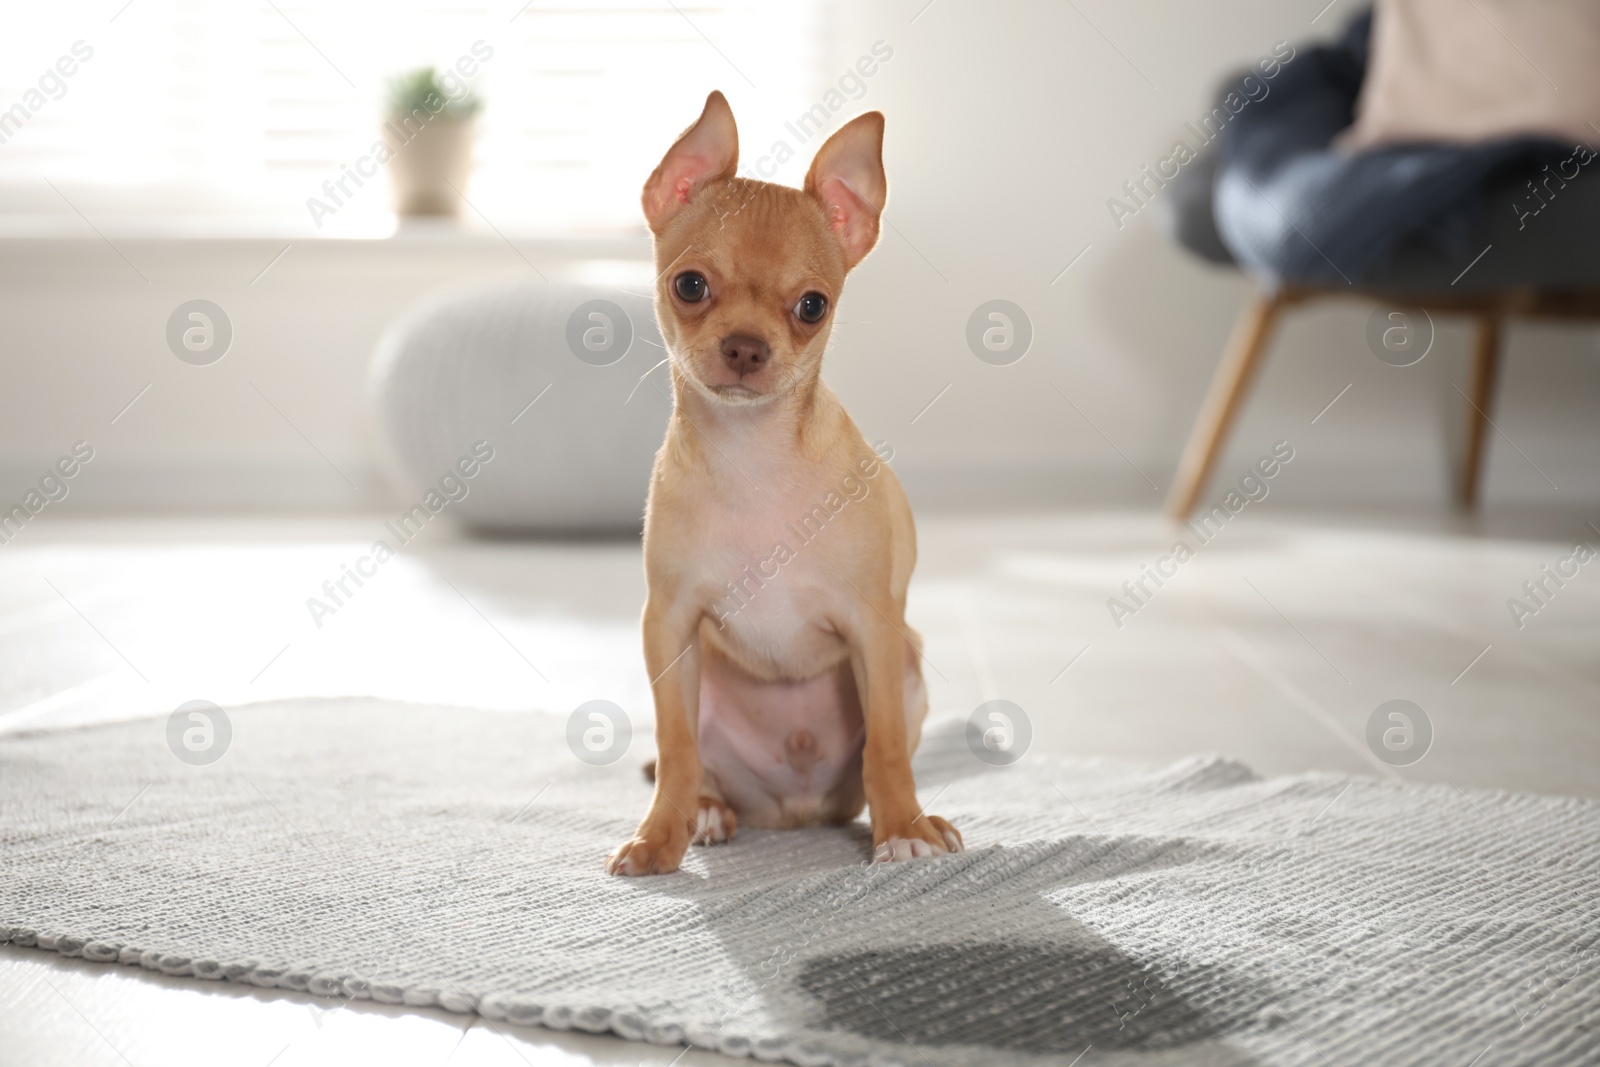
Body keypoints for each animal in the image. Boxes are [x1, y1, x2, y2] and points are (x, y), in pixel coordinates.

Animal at [604, 89, 960, 876]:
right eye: (690, 286)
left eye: (812, 306)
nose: (744, 346)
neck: (754, 456)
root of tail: (793, 810)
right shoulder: (670, 626)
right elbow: (674, 747)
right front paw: (660, 836)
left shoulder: (874, 630)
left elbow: (887, 747)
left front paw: (905, 828)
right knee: (696, 765)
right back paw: (708, 812)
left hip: (909, 664)